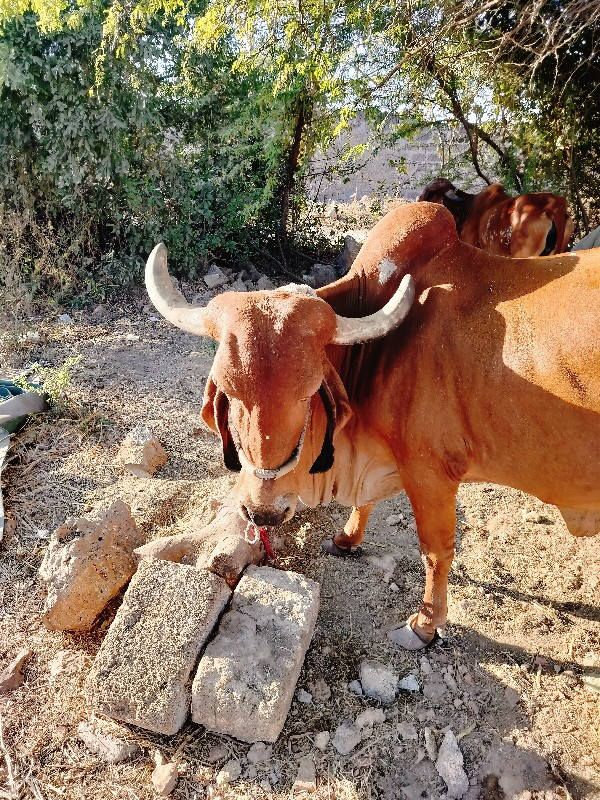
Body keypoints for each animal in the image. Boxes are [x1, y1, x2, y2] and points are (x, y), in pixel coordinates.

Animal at [145, 203, 600, 652]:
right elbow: (365, 503)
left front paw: (425, 625)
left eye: (308, 392)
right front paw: (346, 540)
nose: (263, 512)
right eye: (228, 389)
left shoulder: (431, 473)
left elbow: (435, 551)